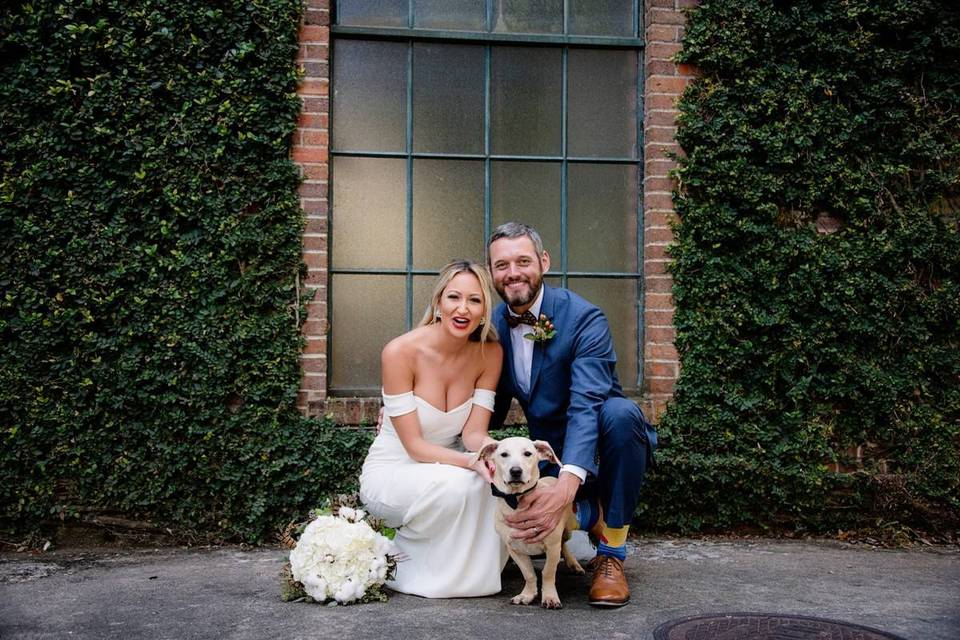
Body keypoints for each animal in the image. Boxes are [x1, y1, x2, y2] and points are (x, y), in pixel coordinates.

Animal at [474, 436, 584, 608]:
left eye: (527, 453)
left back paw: (574, 563)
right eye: (503, 454)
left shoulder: (552, 547)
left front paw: (550, 597)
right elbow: (529, 574)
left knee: (564, 543)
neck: (516, 501)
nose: (516, 471)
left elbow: (548, 573)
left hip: (566, 530)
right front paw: (527, 595)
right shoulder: (514, 549)